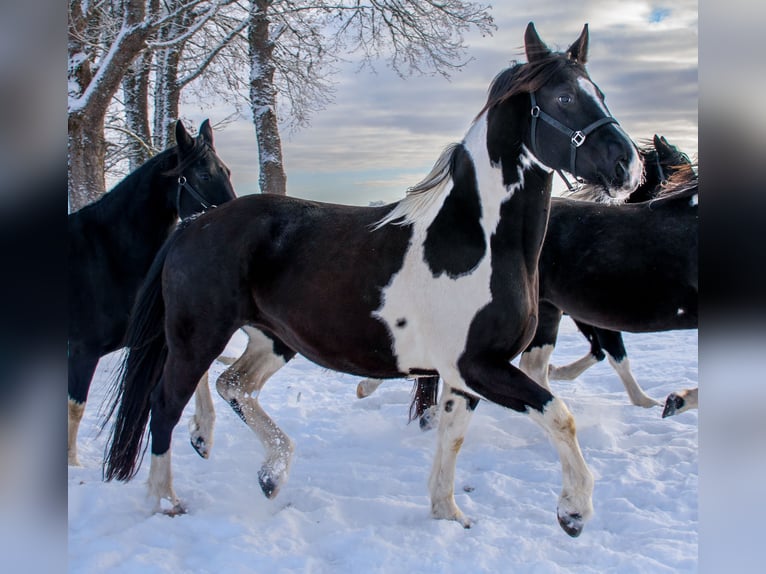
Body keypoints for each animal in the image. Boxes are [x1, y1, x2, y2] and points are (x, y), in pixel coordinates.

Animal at [67, 121, 236, 468]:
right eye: (203, 175)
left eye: (226, 171)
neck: (110, 252)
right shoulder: (82, 350)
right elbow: (75, 408)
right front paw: (72, 464)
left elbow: (197, 372)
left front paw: (202, 435)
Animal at [102, 23, 640, 540]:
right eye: (563, 98)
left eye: (601, 93)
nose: (627, 165)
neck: (477, 239)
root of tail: (195, 224)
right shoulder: (478, 365)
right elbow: (559, 416)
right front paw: (573, 512)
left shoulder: (462, 374)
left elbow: (452, 437)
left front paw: (448, 514)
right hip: (197, 337)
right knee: (165, 405)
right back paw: (166, 500)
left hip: (273, 338)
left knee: (234, 384)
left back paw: (270, 471)